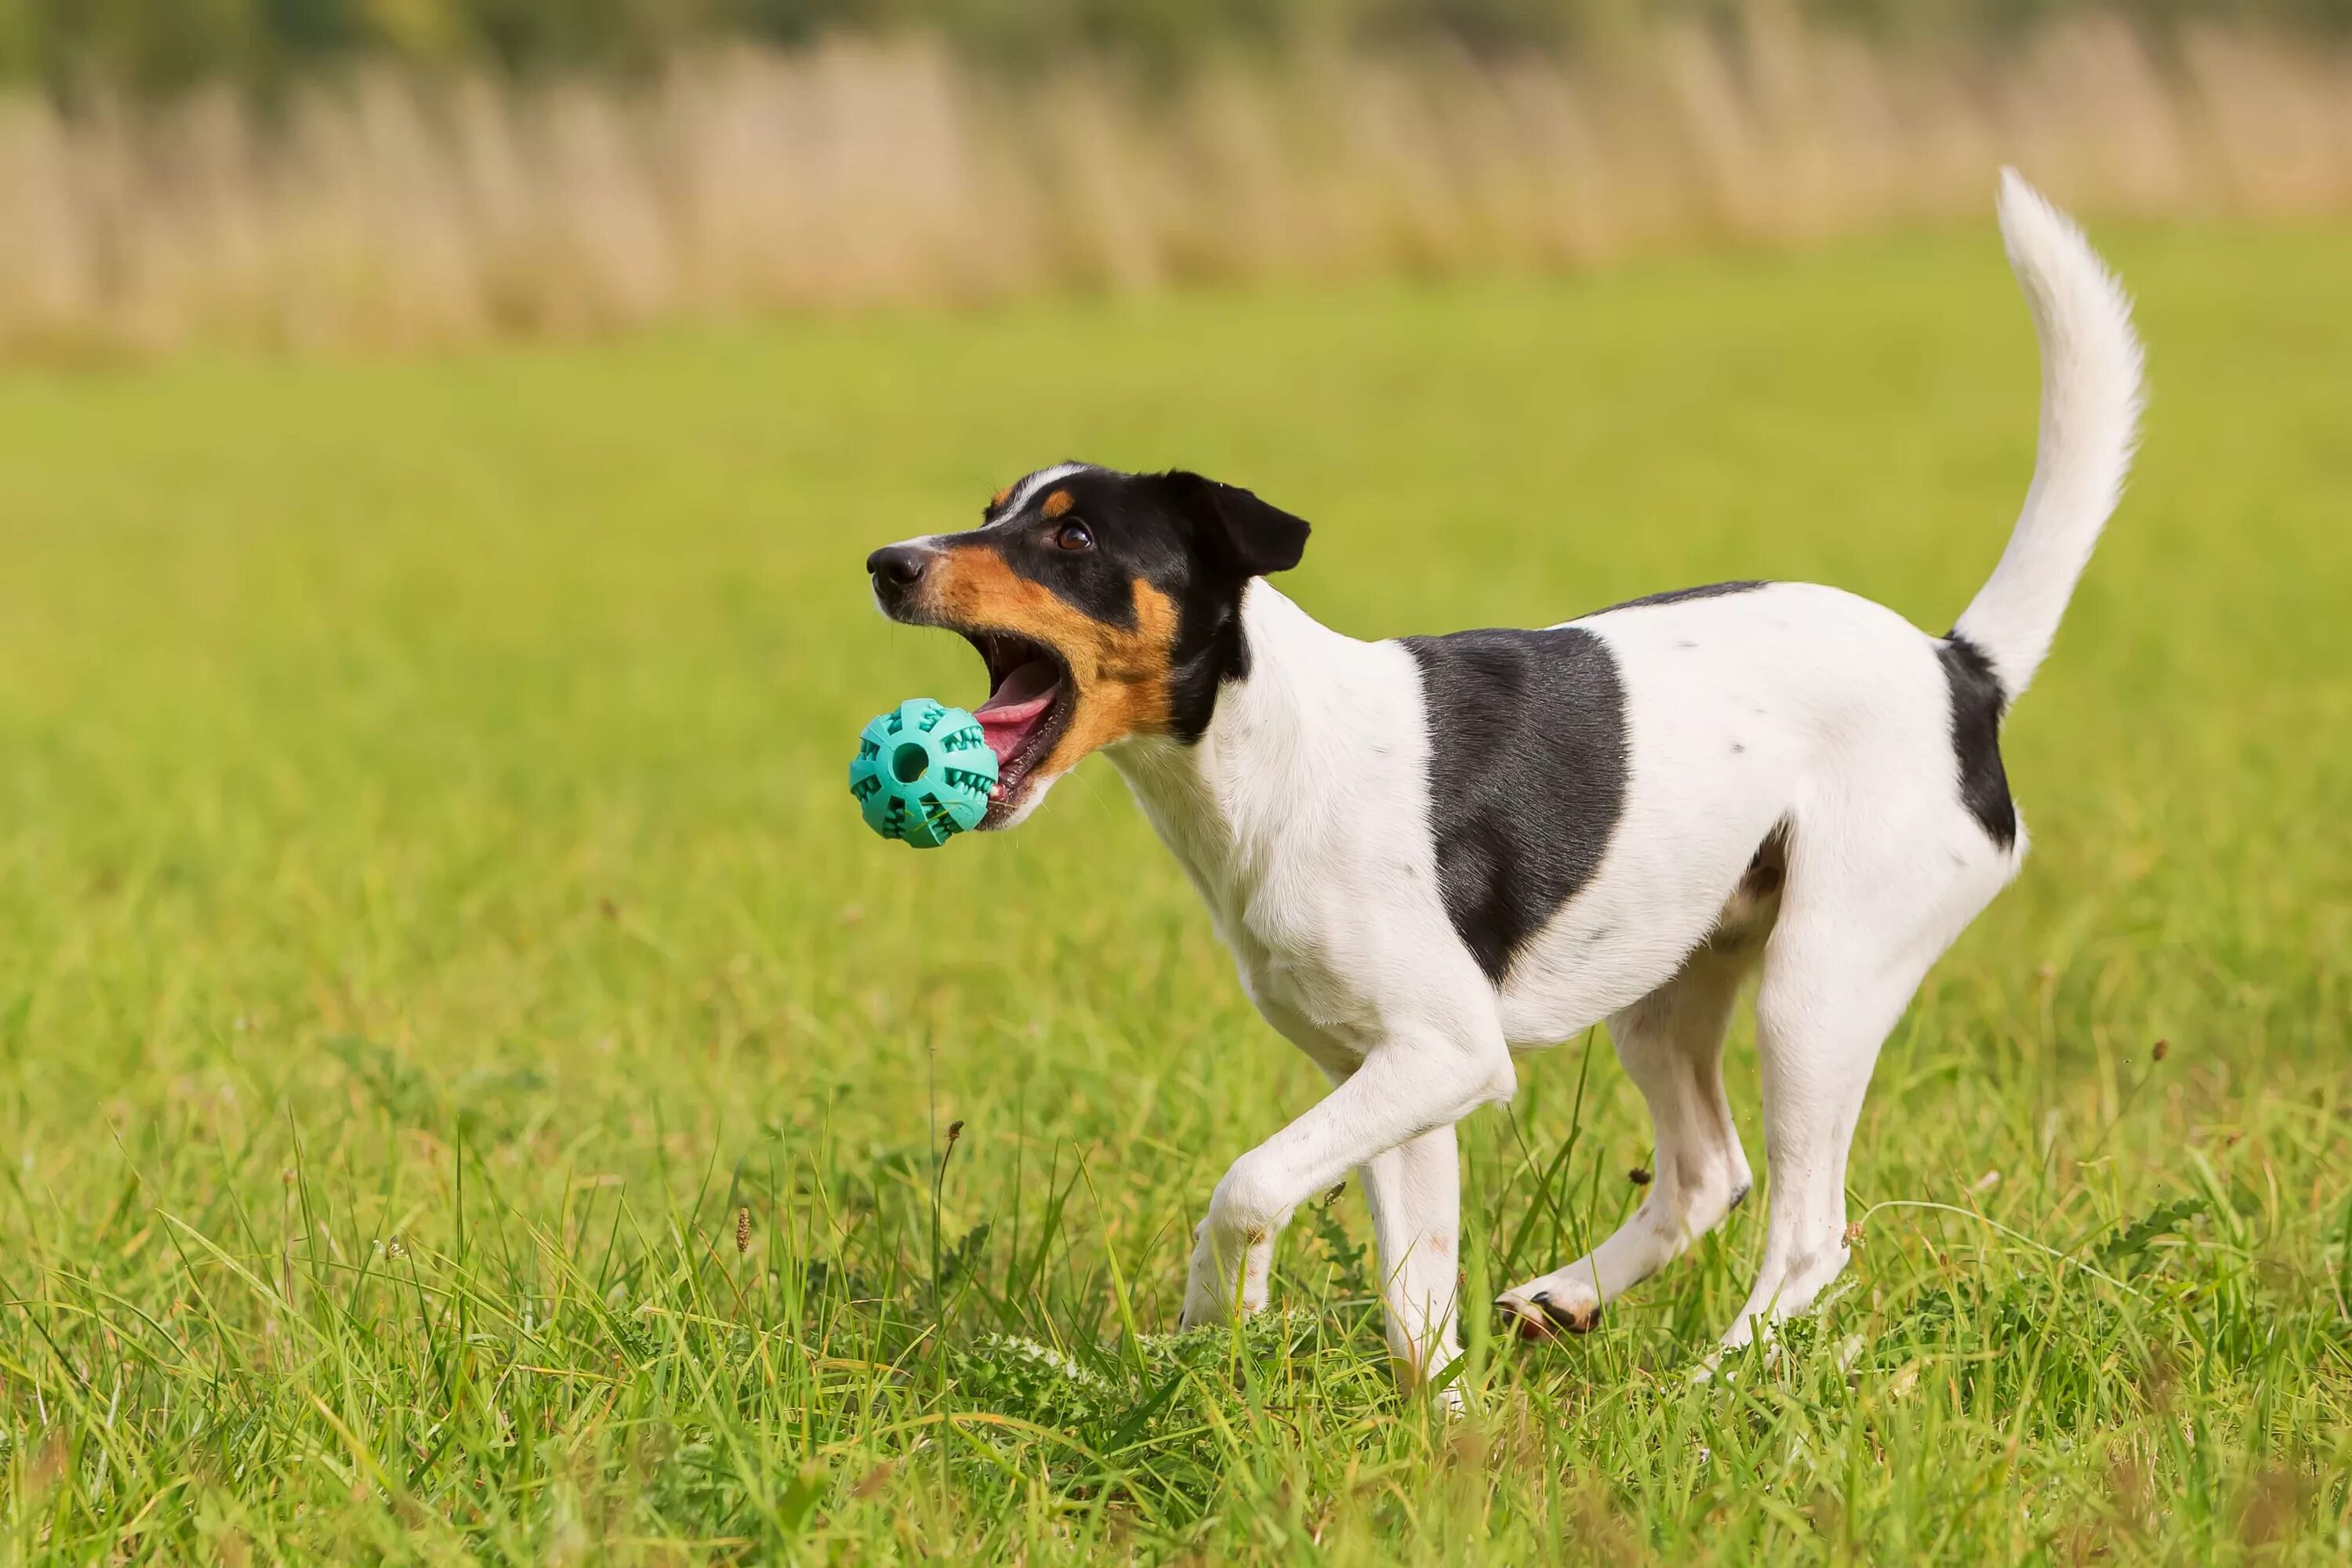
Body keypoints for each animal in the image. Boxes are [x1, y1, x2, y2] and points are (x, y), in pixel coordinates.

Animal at [870, 175, 2154, 1401]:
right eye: (992, 513)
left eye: (1074, 539)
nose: (888, 561)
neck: (1271, 749)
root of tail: (1959, 670)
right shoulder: (1392, 1076)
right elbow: (1413, 1303)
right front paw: (1433, 1430)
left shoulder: (1448, 1055)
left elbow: (1248, 1183)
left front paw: (1218, 1316)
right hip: (1670, 985)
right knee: (1709, 1173)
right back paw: (1569, 1299)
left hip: (1818, 988)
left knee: (1807, 1234)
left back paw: (1706, 1394)